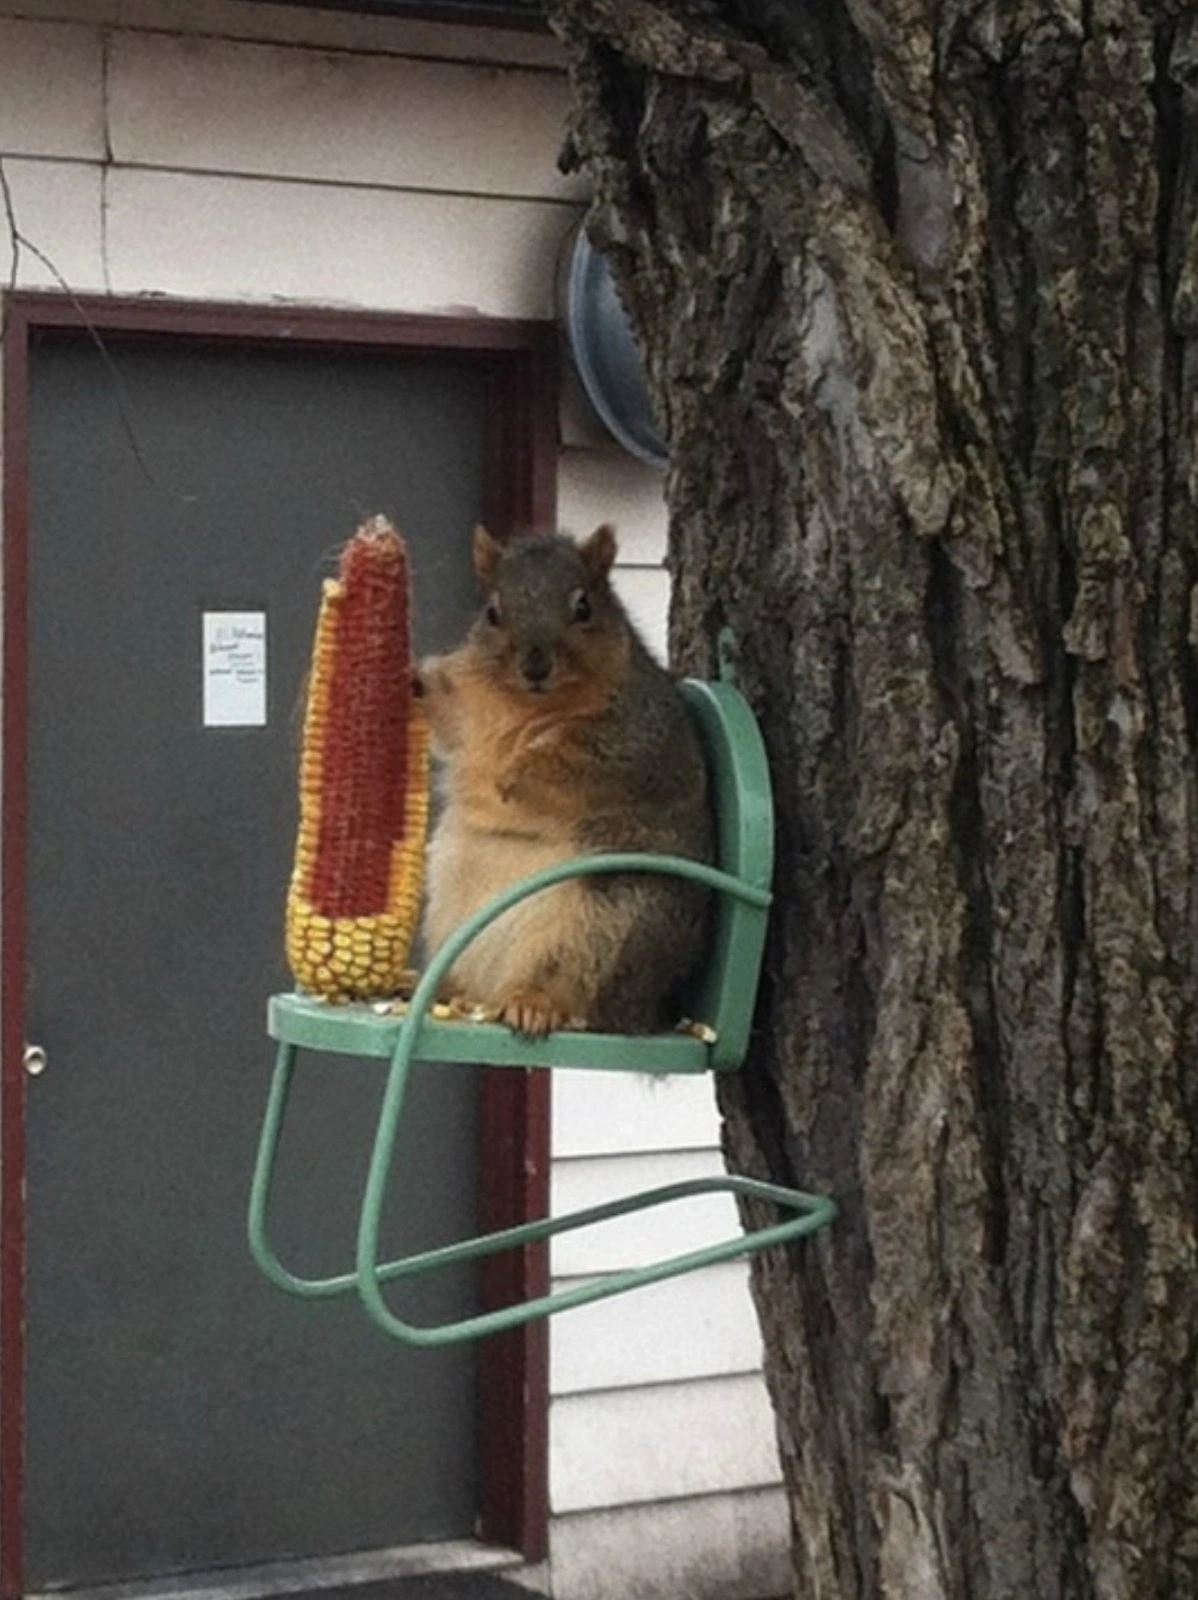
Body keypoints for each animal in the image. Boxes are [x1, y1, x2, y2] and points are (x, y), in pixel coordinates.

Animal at [417, 523, 714, 1038]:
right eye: (493, 612)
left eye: (583, 607)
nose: (535, 666)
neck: (528, 705)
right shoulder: (468, 712)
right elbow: (448, 719)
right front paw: (408, 680)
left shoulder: (636, 734)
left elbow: (573, 761)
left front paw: (514, 773)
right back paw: (446, 990)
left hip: (617, 921)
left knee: (576, 989)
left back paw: (534, 1003)